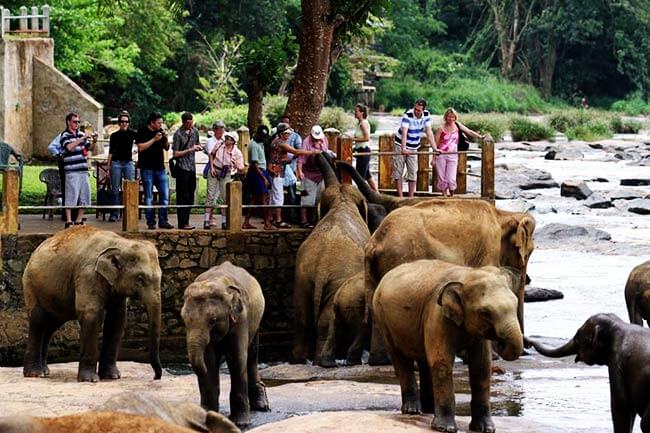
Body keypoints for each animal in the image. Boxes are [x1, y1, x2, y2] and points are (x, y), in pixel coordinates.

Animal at [22, 226, 162, 382]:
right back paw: (35, 374)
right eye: (140, 279)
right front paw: (90, 380)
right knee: (39, 320)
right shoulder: (87, 274)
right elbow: (91, 314)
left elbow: (117, 319)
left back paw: (45, 371)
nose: (156, 377)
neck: (121, 242)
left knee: (51, 325)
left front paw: (112, 376)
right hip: (31, 286)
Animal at [181, 261, 269, 427]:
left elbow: (237, 358)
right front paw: (207, 416)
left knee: (252, 355)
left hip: (256, 320)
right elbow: (208, 360)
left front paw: (241, 423)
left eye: (213, 320)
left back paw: (261, 407)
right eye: (183, 319)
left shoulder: (241, 318)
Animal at [292, 153, 377, 366]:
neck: (342, 201)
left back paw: (299, 361)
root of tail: (321, 269)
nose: (325, 154)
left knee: (302, 319)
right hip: (335, 281)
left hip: (303, 280)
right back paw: (322, 361)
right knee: (325, 321)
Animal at [373, 260, 523, 433]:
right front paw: (445, 428)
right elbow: (442, 362)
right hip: (382, 318)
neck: (466, 275)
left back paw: (428, 410)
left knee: (425, 361)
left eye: (516, 304)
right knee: (400, 358)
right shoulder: (437, 314)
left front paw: (485, 429)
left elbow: (481, 366)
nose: (500, 340)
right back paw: (412, 411)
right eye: (485, 312)